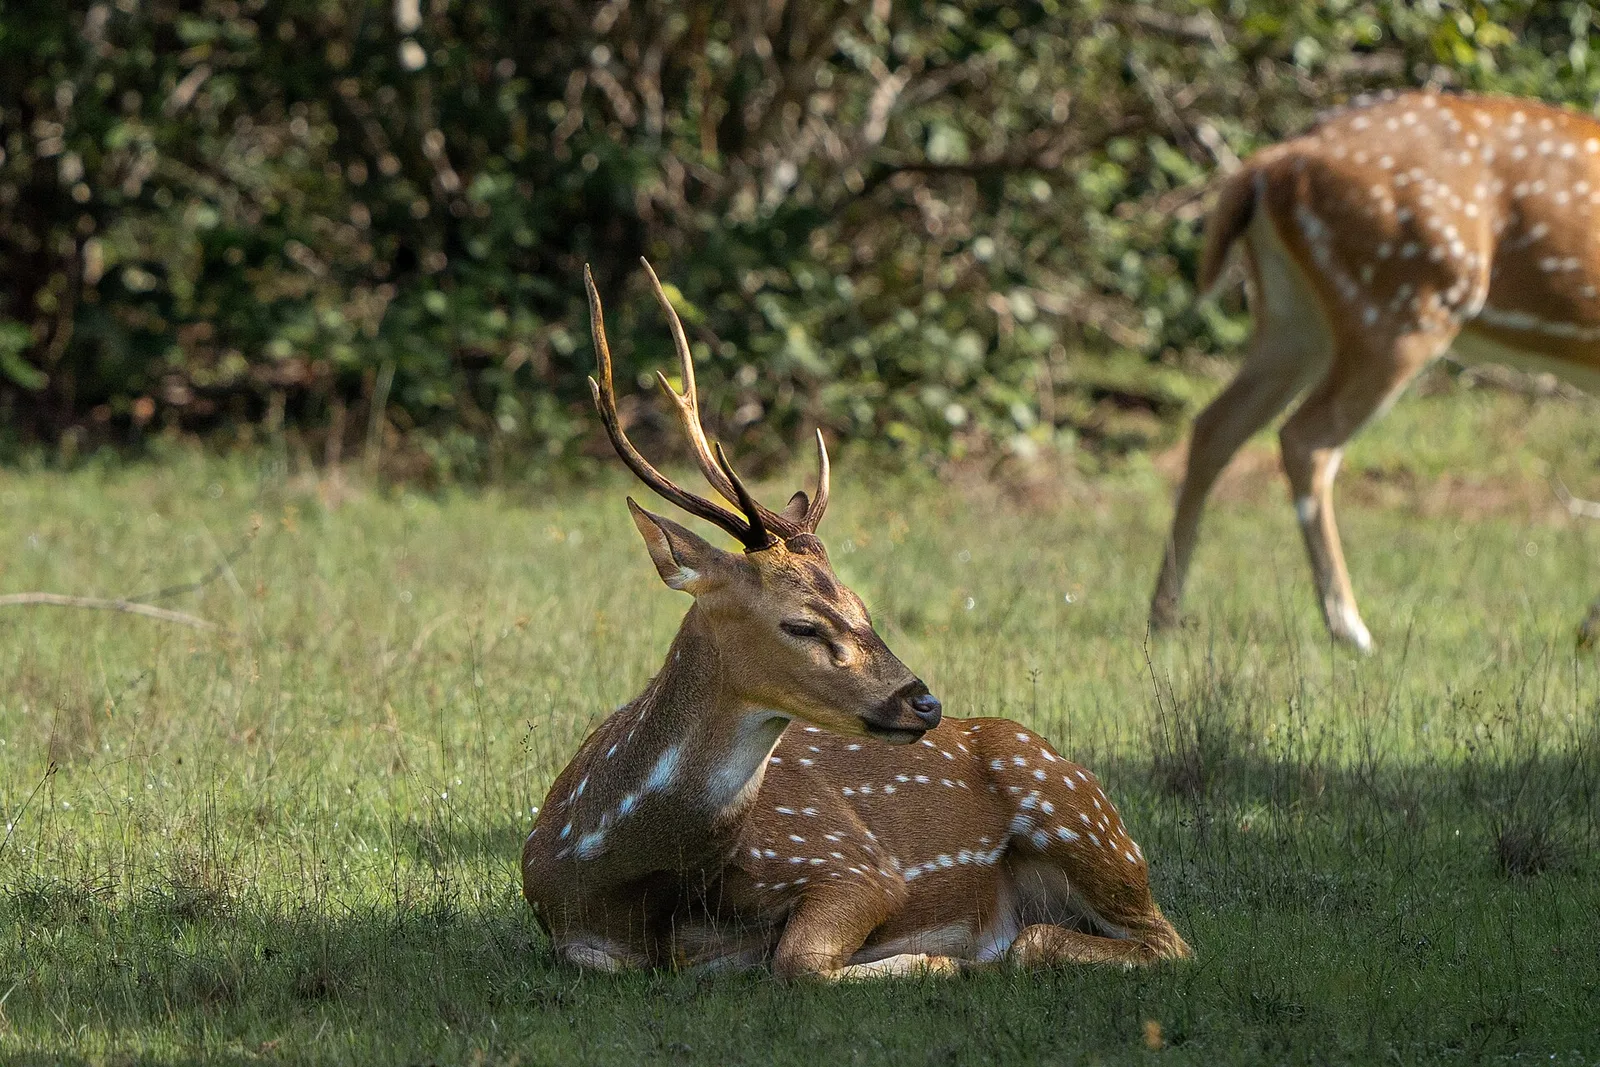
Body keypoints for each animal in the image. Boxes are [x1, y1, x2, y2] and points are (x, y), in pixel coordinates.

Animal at [521, 260, 1190, 979]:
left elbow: (797, 958)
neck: (613, 876)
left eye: (862, 607)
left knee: (1159, 940)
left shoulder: (848, 859)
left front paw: (936, 961)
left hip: (1078, 815)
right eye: (802, 623)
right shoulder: (573, 935)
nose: (924, 702)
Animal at [1151, 90, 1600, 652]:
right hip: (1401, 303)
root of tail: (1268, 164)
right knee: (1306, 438)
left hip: (1293, 315)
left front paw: (1588, 628)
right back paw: (1350, 627)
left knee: (1216, 424)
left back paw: (1165, 614)